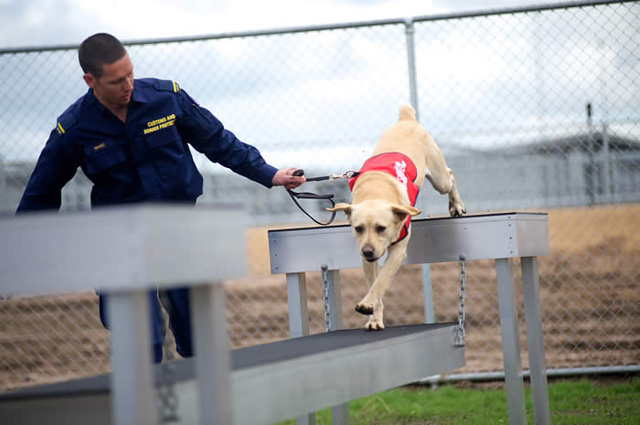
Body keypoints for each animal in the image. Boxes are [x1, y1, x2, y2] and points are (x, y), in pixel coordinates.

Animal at [330, 104, 464, 330]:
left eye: (381, 228)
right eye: (358, 228)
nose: (367, 250)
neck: (376, 191)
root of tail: (406, 120)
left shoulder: (398, 251)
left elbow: (381, 281)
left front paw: (367, 304)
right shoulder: (367, 259)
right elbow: (374, 283)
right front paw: (374, 317)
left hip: (439, 178)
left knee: (450, 174)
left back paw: (457, 205)